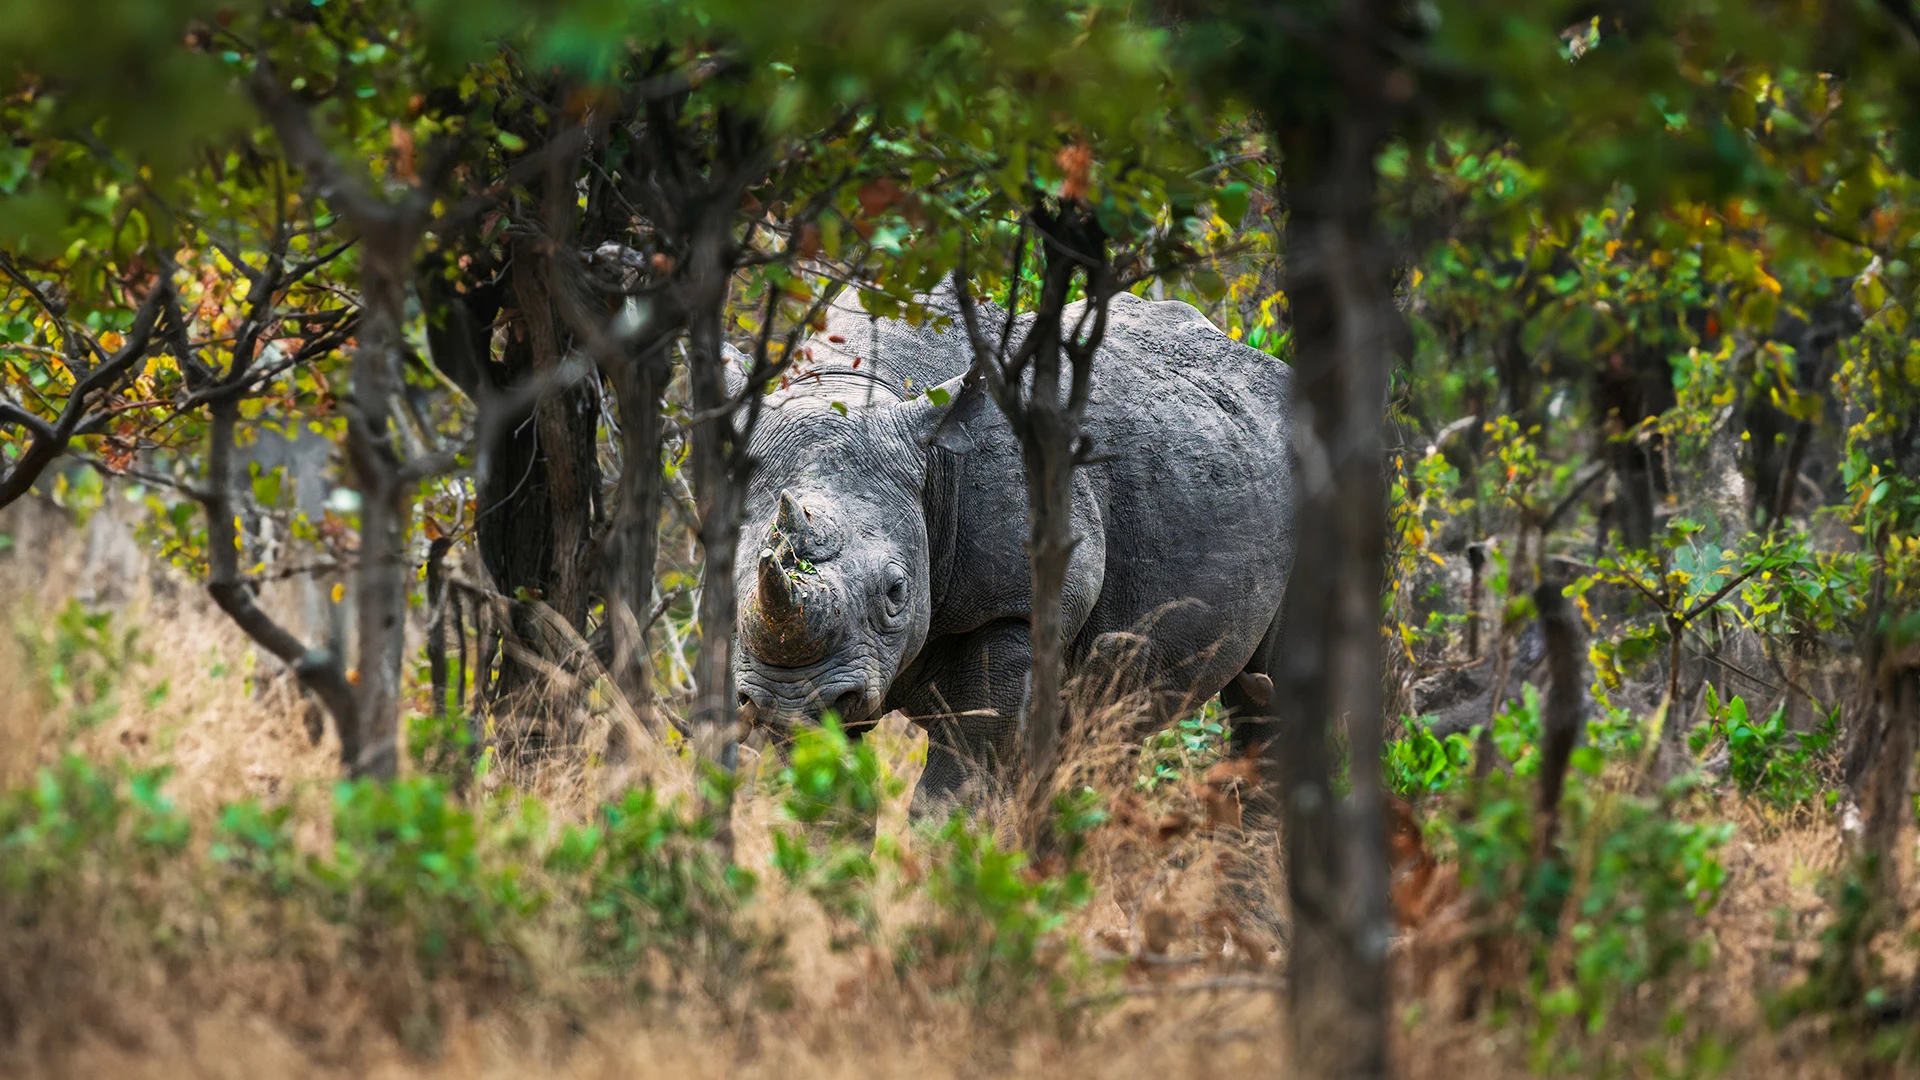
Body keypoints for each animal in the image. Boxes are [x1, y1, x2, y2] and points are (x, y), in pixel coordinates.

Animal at [729, 285, 1294, 813]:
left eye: (896, 591)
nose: (790, 700)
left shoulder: (1013, 604)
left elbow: (956, 788)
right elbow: (822, 783)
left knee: (1263, 694)